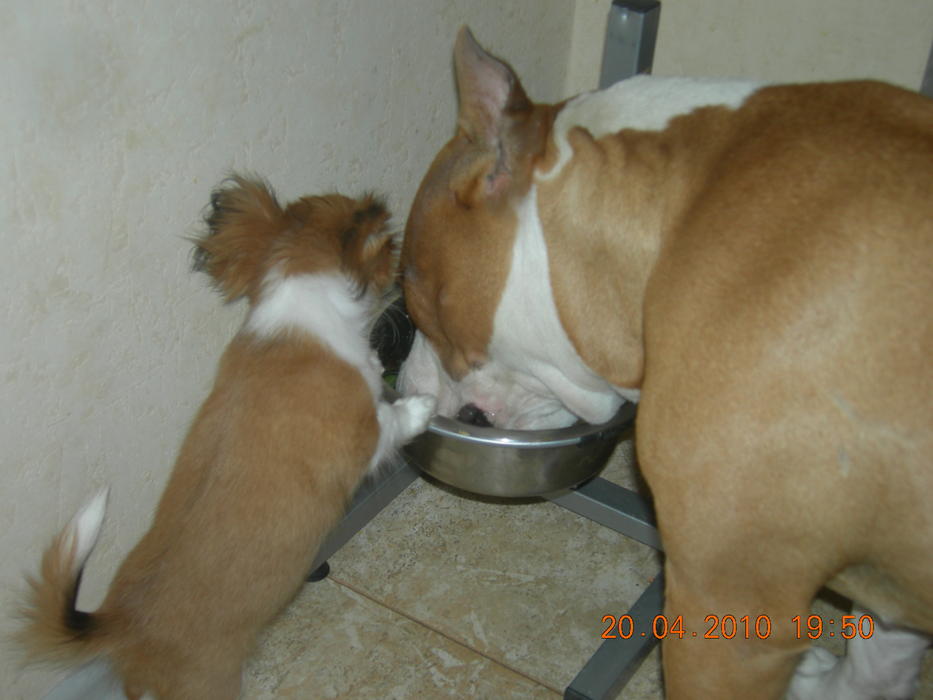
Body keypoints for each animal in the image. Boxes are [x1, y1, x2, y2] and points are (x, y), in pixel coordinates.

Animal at [17, 175, 435, 699]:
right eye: (388, 248)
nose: (400, 274)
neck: (302, 313)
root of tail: (122, 625)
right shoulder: (363, 437)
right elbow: (393, 421)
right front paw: (419, 406)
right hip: (209, 681)